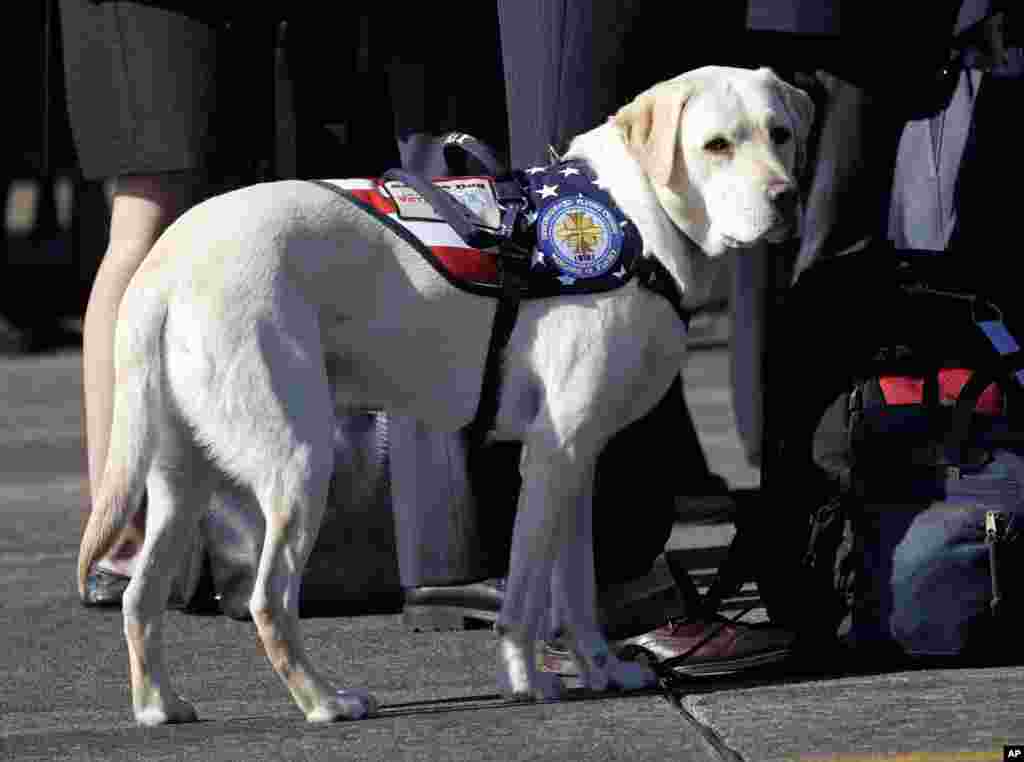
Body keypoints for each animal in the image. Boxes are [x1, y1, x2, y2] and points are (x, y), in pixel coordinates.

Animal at [77, 64, 815, 721]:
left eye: (779, 133)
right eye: (715, 145)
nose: (785, 198)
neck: (634, 217)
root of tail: (166, 259)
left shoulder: (579, 463)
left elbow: (577, 590)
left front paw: (602, 670)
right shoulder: (551, 455)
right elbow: (525, 596)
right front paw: (529, 682)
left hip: (181, 480)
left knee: (141, 599)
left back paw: (160, 707)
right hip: (299, 464)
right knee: (269, 601)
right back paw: (324, 702)